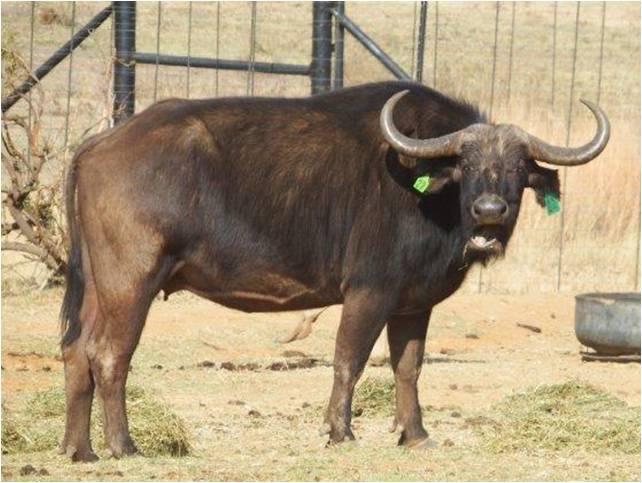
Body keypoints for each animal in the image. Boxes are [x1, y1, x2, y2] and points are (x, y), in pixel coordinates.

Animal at [59, 81, 609, 461]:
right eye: (468, 164)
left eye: (517, 168)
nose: (491, 212)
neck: (426, 191)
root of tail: (101, 144)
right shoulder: (369, 292)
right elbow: (350, 359)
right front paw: (340, 431)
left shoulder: (414, 303)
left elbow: (408, 366)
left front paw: (415, 434)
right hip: (131, 281)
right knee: (109, 354)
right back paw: (124, 445)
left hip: (95, 284)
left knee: (76, 351)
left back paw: (79, 449)